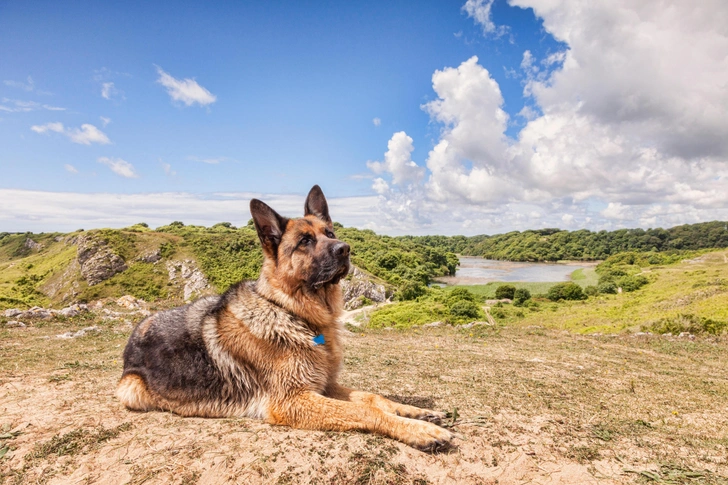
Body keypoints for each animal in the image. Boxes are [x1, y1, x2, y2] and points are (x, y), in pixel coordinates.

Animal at [116, 184, 452, 450]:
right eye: (305, 241)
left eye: (330, 233)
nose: (345, 248)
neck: (294, 313)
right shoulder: (293, 400)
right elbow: (366, 411)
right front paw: (420, 431)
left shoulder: (324, 386)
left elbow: (374, 398)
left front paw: (415, 412)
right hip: (131, 390)